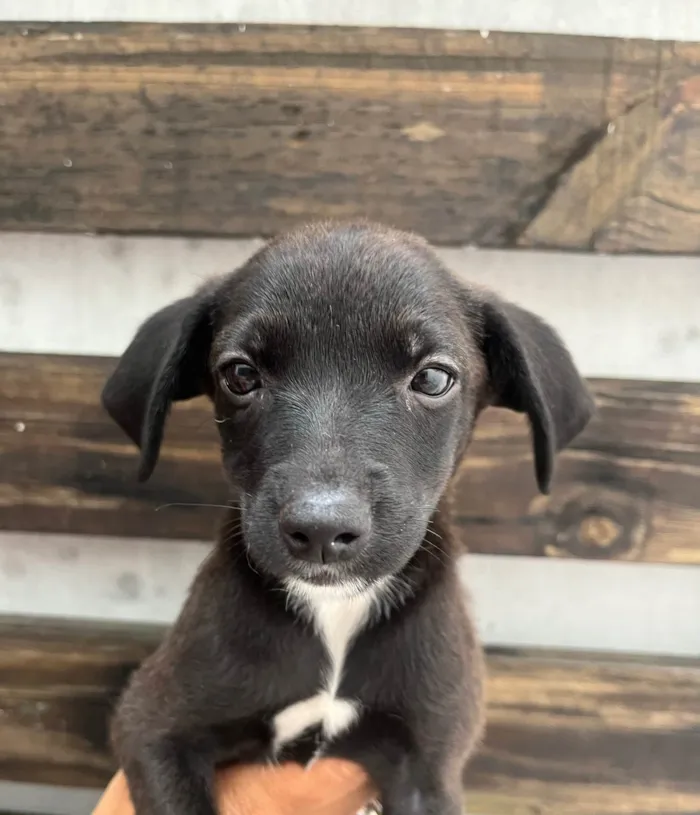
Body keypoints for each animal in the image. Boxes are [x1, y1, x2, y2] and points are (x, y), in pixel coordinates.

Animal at [104, 222, 592, 815]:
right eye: (240, 374)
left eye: (433, 379)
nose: (320, 530)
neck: (334, 609)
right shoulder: (153, 726)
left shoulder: (428, 767)